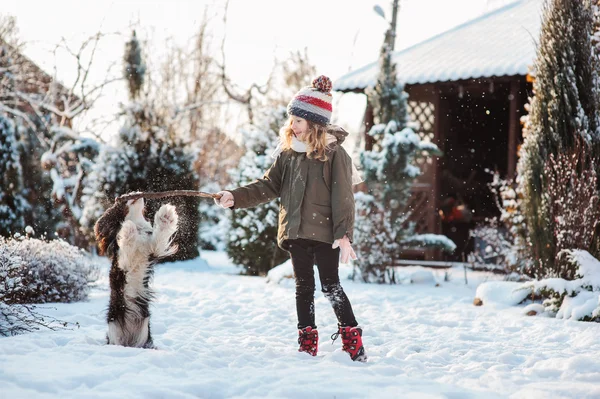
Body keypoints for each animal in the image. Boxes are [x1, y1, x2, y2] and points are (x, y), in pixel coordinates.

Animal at [94, 198, 178, 348]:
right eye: (121, 200)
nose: (135, 195)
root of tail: (128, 343)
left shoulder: (153, 249)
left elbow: (160, 234)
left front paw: (166, 216)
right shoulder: (122, 262)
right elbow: (127, 244)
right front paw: (128, 228)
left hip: (144, 331)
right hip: (114, 327)